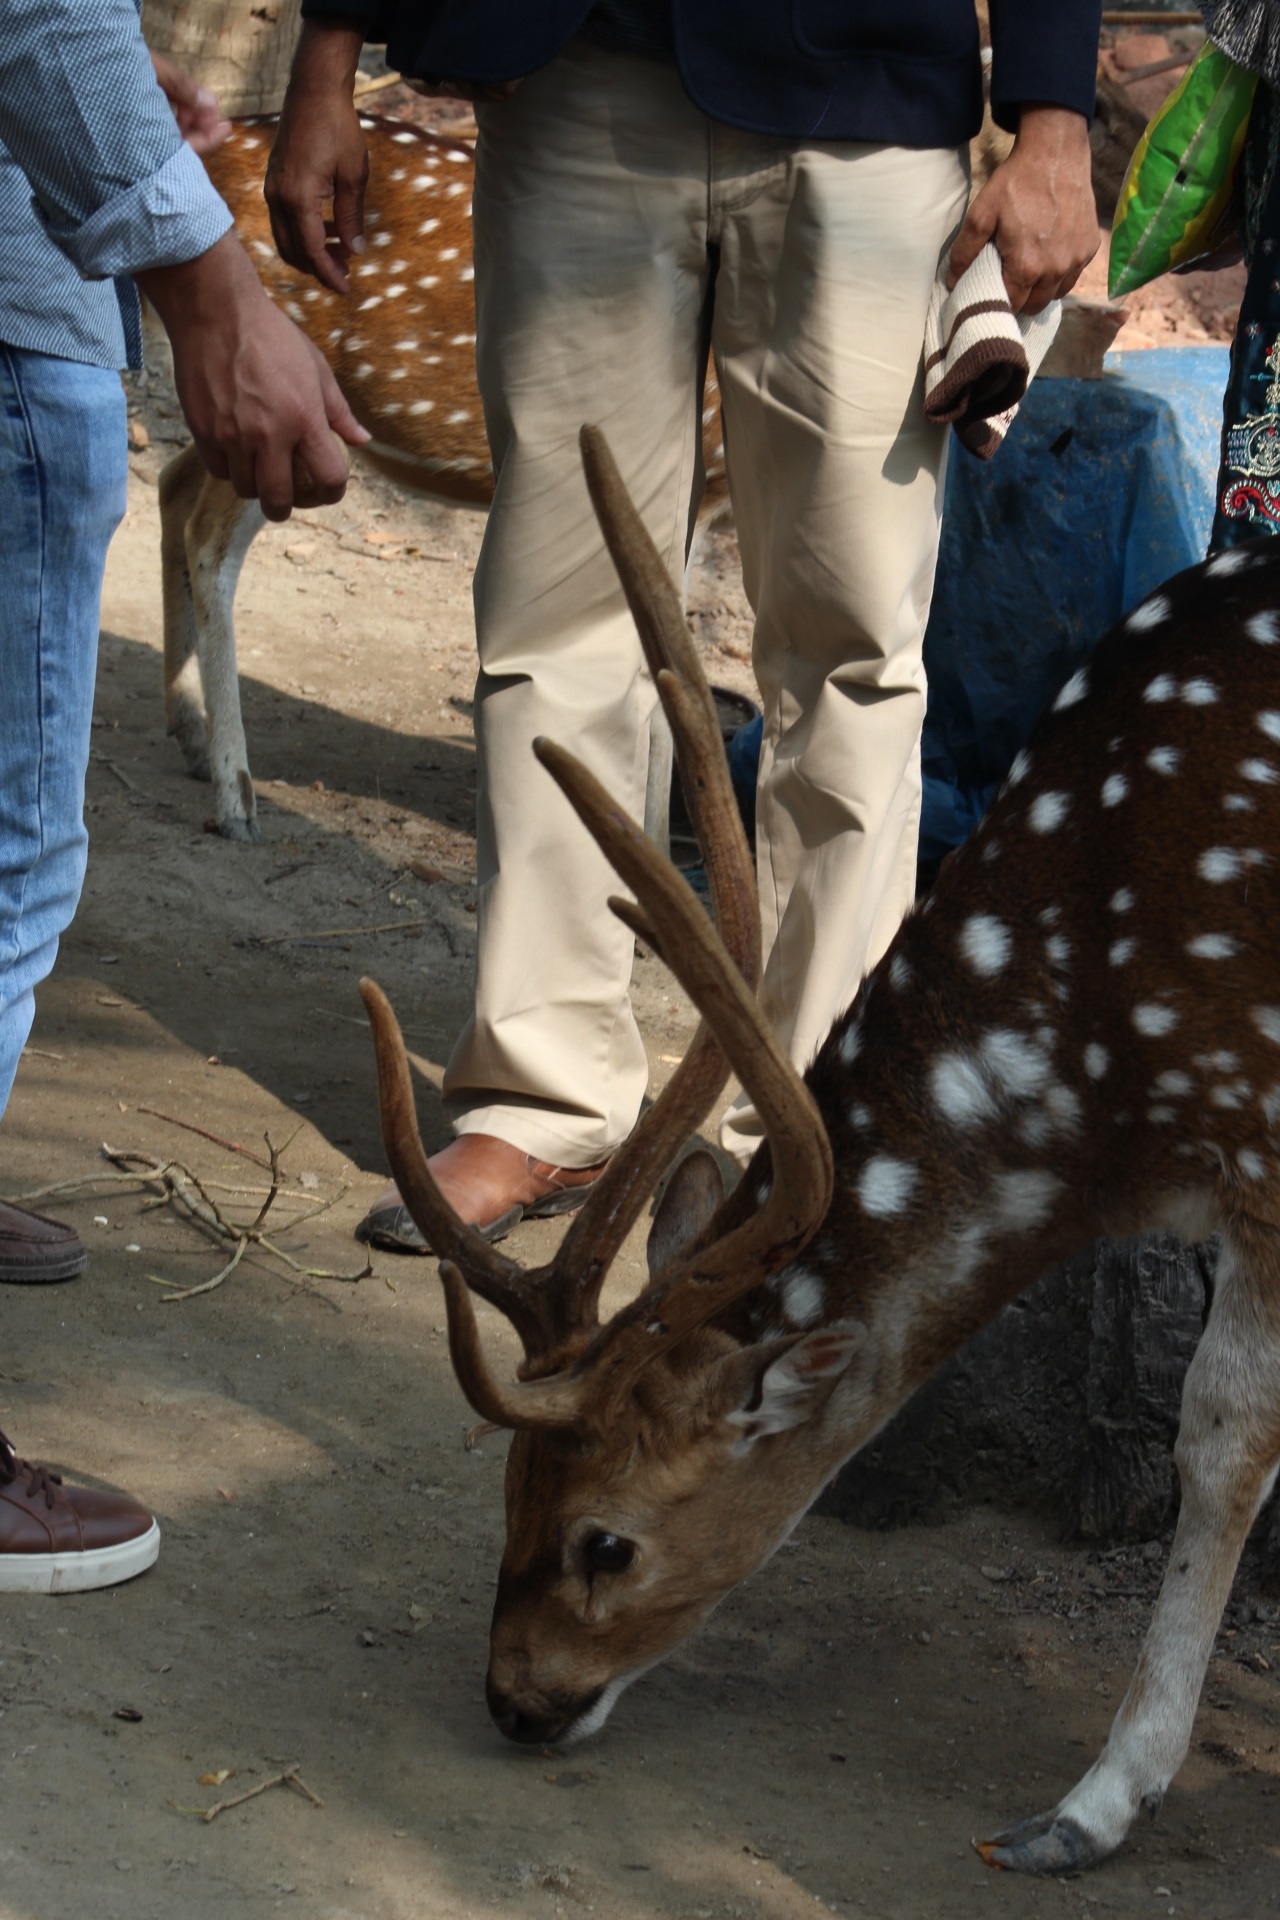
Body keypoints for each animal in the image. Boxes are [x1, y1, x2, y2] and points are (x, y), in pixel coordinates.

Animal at [358, 432, 1280, 1873]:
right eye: (508, 1487)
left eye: (605, 1543)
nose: (515, 1700)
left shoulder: (1266, 1139)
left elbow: (1223, 1436)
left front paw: (1088, 1807)